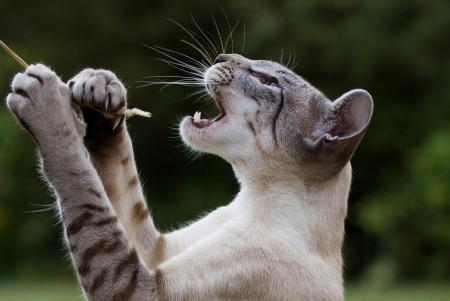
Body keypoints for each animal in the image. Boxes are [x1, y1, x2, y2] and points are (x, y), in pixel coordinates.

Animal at [6, 52, 372, 298]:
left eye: (268, 81)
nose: (220, 56)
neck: (251, 199)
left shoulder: (145, 287)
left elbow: (79, 175)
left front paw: (47, 101)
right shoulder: (159, 251)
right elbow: (116, 177)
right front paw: (100, 86)